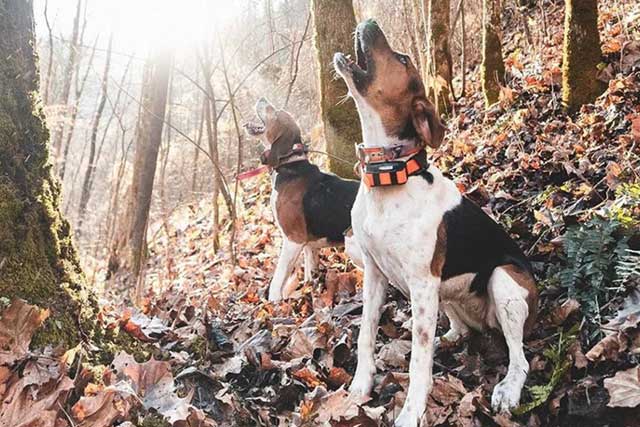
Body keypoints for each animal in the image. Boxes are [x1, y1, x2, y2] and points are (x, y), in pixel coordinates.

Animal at [246, 99, 364, 302]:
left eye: (273, 111)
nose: (261, 99)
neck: (290, 164)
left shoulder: (293, 239)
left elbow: (279, 277)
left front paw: (274, 301)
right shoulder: (308, 244)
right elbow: (310, 269)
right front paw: (311, 287)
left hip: (353, 243)